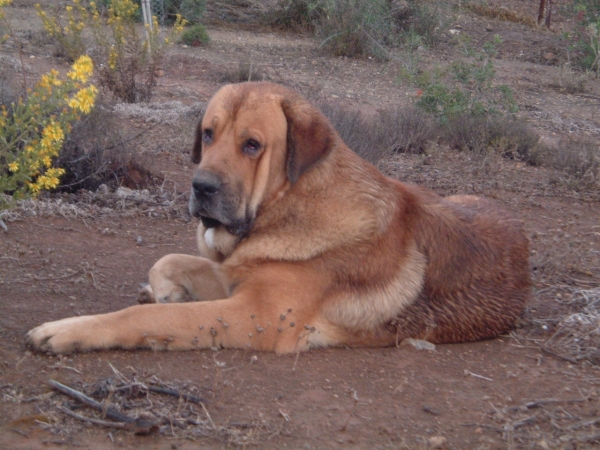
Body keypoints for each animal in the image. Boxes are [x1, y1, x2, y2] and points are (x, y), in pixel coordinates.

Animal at [27, 82, 528, 354]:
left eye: (252, 145)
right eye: (207, 134)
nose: (200, 187)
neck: (290, 203)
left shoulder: (256, 314)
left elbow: (144, 318)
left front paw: (68, 330)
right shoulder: (238, 274)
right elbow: (168, 261)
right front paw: (164, 290)